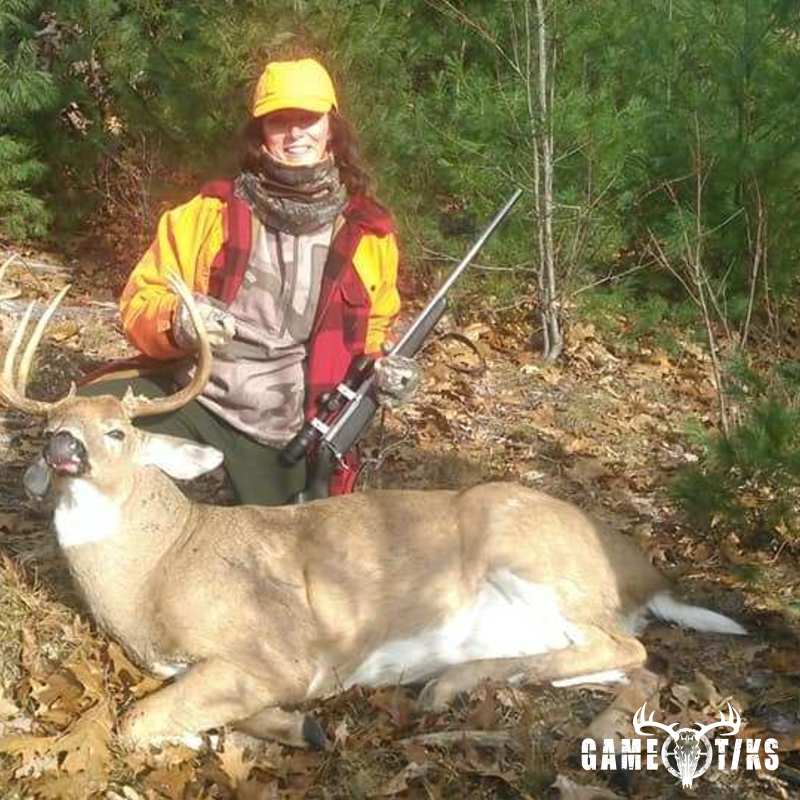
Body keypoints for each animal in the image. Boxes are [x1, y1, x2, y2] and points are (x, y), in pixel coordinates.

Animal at [0, 274, 747, 751]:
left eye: (117, 432)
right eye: (50, 427)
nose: (63, 446)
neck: (158, 571)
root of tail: (648, 576)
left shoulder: (282, 653)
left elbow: (135, 722)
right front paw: (293, 729)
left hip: (526, 549)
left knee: (630, 646)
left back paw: (456, 686)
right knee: (633, 665)